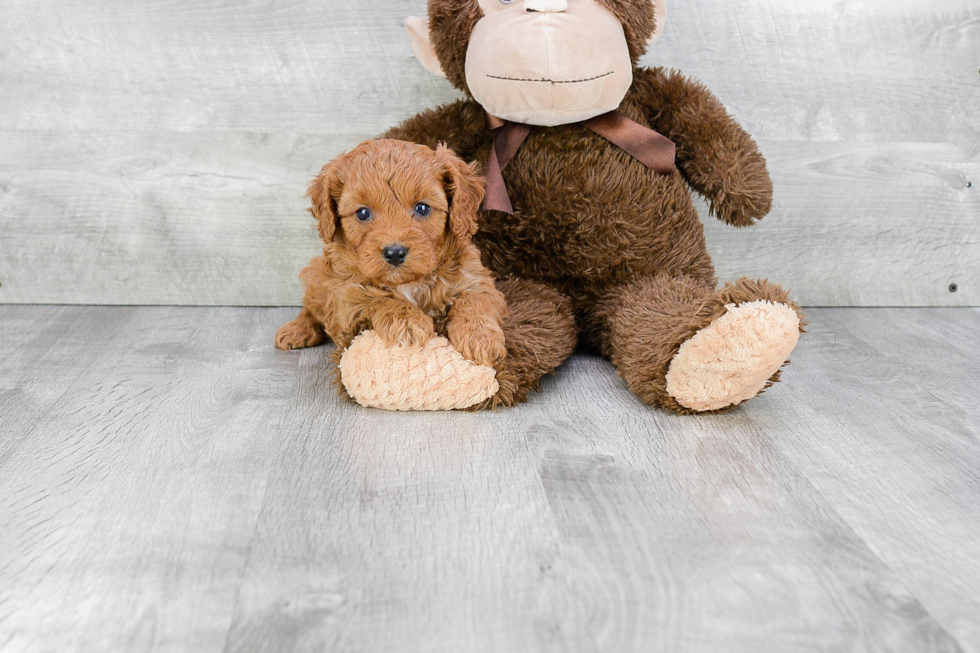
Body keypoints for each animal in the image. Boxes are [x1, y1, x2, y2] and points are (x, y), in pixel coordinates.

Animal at [274, 138, 506, 366]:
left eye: (422, 208)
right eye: (363, 213)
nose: (395, 253)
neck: (408, 283)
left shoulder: (474, 278)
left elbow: (474, 300)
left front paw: (480, 337)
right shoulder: (344, 299)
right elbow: (374, 298)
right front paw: (408, 321)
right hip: (315, 275)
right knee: (310, 308)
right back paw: (297, 329)